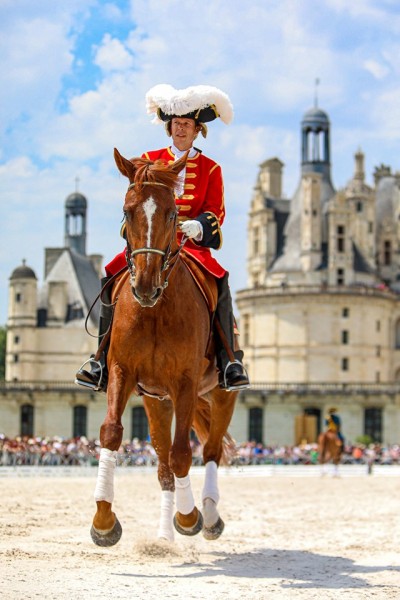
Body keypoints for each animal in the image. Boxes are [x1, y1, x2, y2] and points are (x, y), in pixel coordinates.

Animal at [91, 149, 238, 544]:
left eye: (173, 214)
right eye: (127, 211)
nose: (145, 284)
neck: (155, 310)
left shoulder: (185, 381)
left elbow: (184, 453)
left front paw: (190, 517)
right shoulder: (121, 372)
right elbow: (112, 433)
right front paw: (103, 520)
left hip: (221, 393)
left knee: (211, 450)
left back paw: (209, 515)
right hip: (157, 401)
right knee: (162, 463)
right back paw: (163, 536)